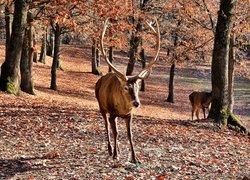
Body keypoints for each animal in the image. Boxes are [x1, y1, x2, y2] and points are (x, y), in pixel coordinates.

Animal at [94, 17, 160, 164]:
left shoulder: (129, 115)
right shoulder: (112, 112)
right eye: (125, 87)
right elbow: (116, 132)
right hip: (102, 107)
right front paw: (116, 155)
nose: (136, 103)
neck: (122, 109)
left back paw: (117, 150)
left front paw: (135, 158)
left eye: (137, 87)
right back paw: (111, 150)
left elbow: (130, 134)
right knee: (107, 126)